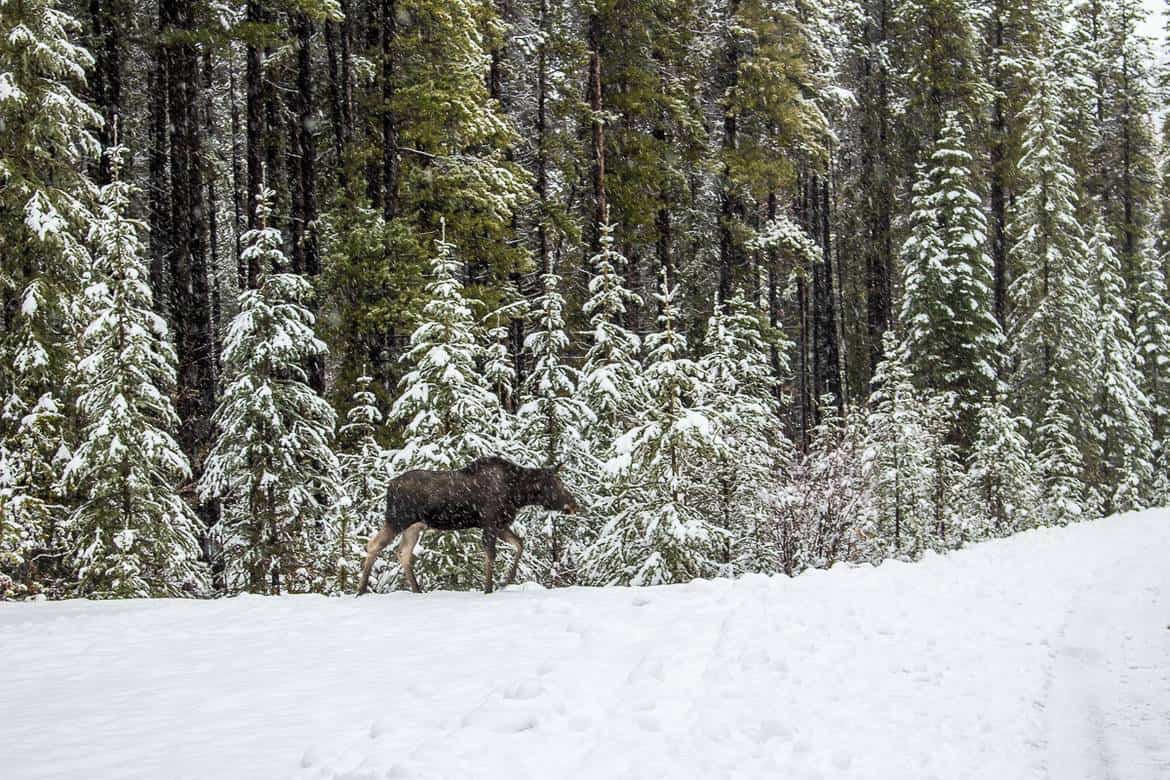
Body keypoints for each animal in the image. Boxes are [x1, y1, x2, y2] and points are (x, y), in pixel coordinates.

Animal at [353, 453, 577, 594]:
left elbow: (520, 544)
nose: (574, 504)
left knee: (403, 553)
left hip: (414, 526)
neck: (518, 494)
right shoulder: (490, 524)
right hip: (397, 519)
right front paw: (489, 588)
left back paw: (417, 590)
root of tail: (389, 486)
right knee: (374, 544)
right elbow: (491, 555)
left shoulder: (500, 525)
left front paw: (507, 579)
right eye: (556, 484)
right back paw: (361, 590)